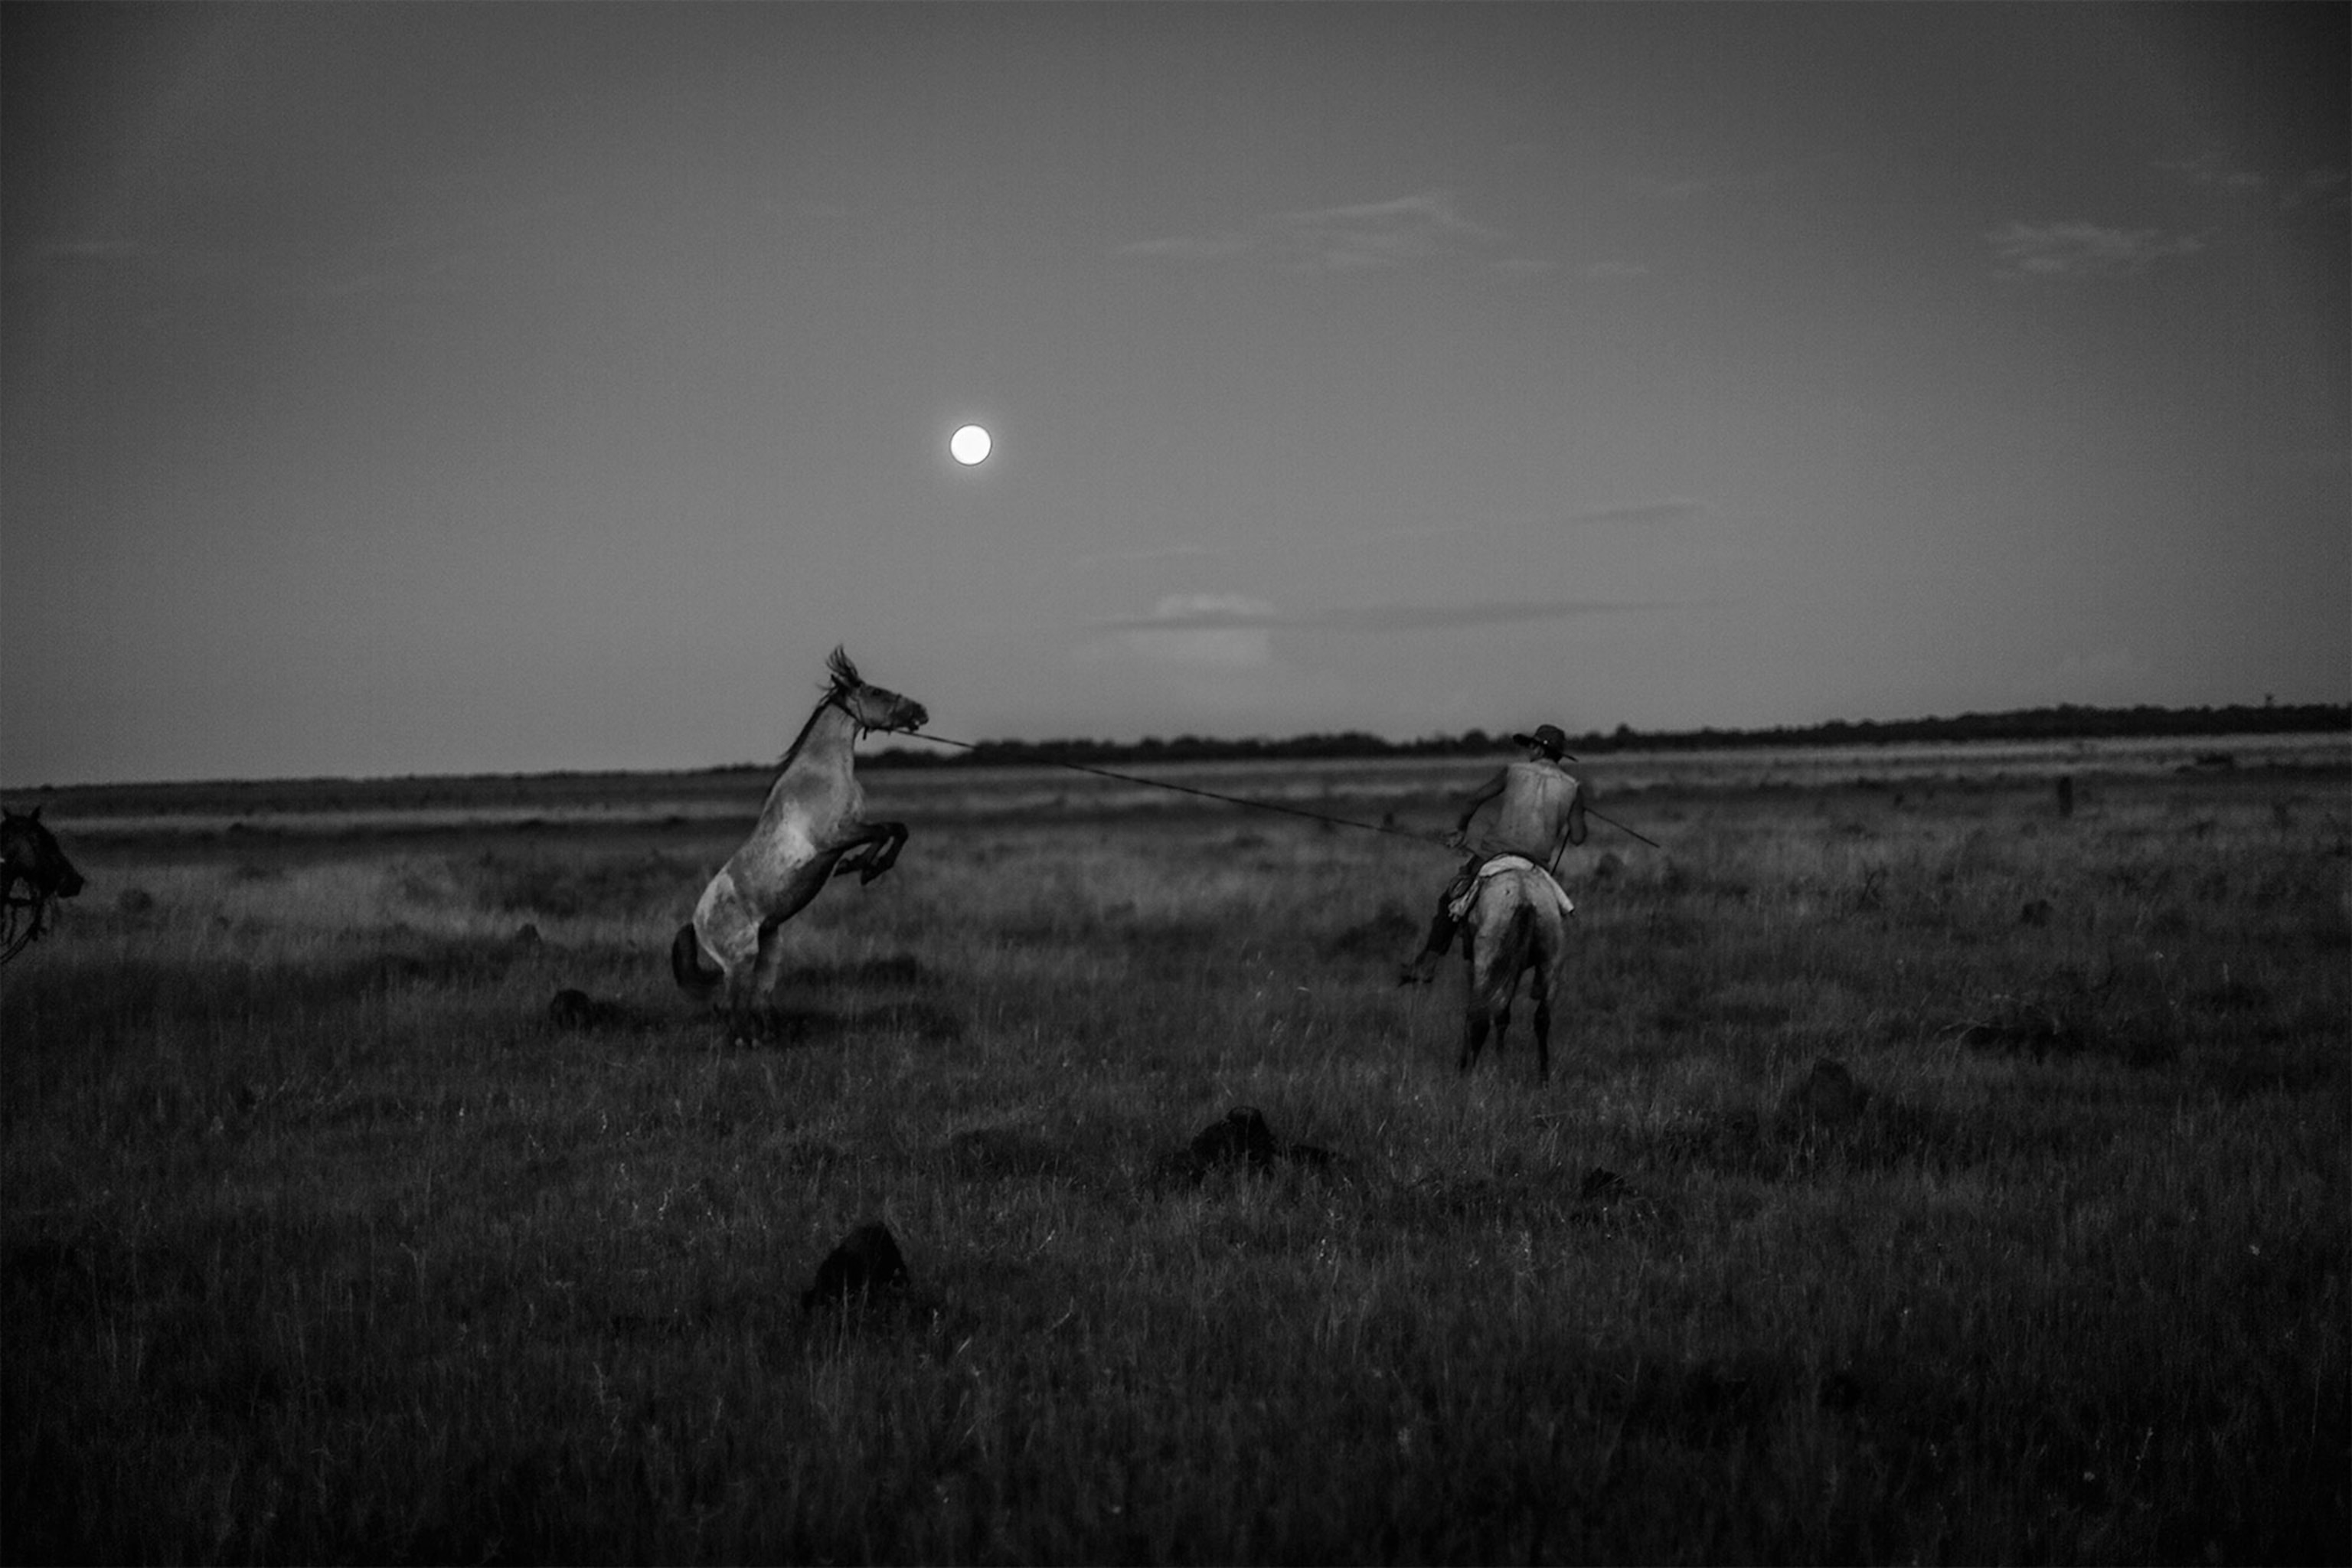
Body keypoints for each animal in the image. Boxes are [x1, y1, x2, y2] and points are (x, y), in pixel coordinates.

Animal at [672, 648, 926, 1020]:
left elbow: (894, 829)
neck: (823, 772)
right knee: (732, 1007)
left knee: (757, 1002)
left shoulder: (849, 831)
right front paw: (865, 867)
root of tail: (698, 922)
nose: (921, 711)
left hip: (770, 948)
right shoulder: (833, 838)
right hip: (741, 959)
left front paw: (861, 866)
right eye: (876, 692)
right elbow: (885, 830)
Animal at [1439, 860, 1571, 1081]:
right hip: (1551, 961)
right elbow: (1503, 1015)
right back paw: (1543, 1078)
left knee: (1479, 1018)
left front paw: (1464, 1065)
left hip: (1487, 960)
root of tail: (1525, 897)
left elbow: (1475, 1011)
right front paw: (1500, 1063)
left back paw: (1471, 1075)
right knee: (1542, 1018)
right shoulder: (1514, 969)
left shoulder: (1473, 965)